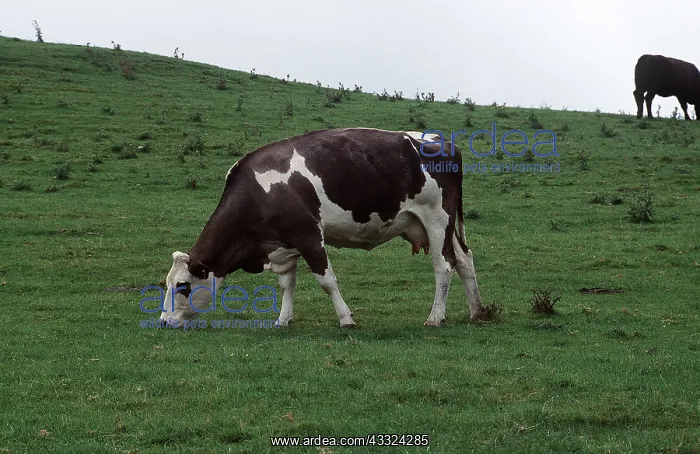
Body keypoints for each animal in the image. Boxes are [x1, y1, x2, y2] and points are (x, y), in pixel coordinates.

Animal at [159, 127, 488, 328]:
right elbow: (286, 284)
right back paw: (477, 311)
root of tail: (443, 141)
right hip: (435, 225)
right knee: (465, 260)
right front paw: (283, 320)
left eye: (183, 286)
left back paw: (435, 317)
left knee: (444, 266)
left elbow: (326, 280)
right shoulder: (282, 244)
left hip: (437, 218)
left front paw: (346, 319)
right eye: (167, 284)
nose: (162, 320)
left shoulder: (308, 235)